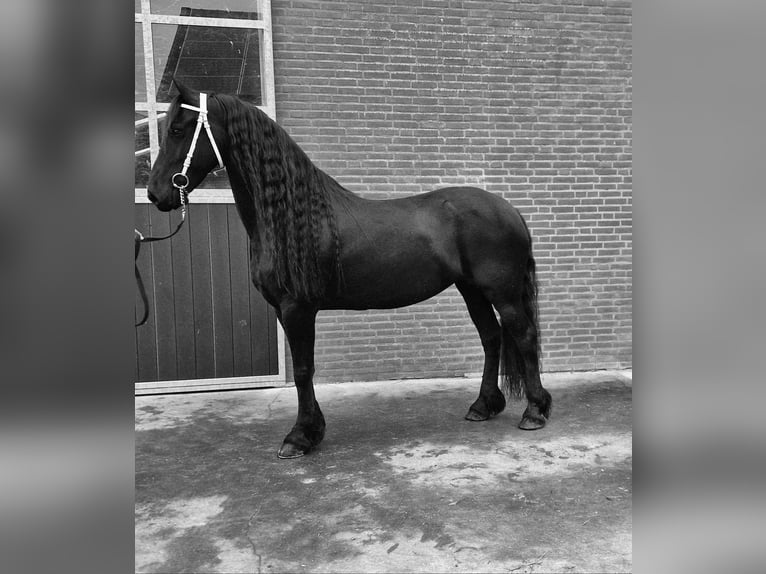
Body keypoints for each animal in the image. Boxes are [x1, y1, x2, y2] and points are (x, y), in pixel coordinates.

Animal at [146, 82, 552, 459]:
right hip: (472, 290)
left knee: (524, 335)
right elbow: (303, 369)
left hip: (501, 291)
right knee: (492, 338)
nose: (155, 194)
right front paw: (311, 430)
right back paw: (483, 405)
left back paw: (534, 411)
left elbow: (302, 370)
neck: (293, 218)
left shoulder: (297, 309)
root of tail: (509, 209)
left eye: (178, 130)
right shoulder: (282, 310)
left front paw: (300, 436)